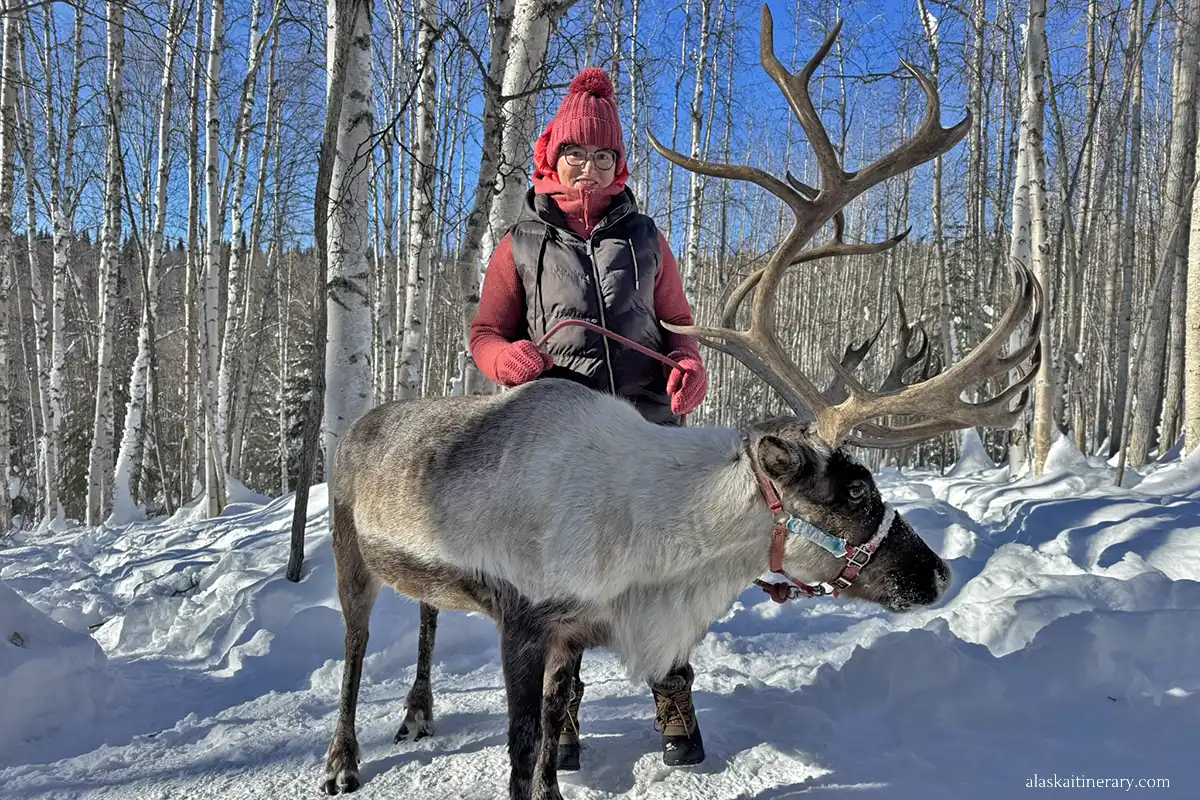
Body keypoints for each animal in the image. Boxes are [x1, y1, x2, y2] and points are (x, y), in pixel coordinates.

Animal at [320, 6, 1042, 799]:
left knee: (425, 616)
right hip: (350, 548)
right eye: (855, 490)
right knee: (356, 643)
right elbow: (520, 755)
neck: (646, 539)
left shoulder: (574, 631)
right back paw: (342, 759)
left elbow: (550, 739)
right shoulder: (526, 620)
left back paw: (419, 712)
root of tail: (359, 424)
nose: (938, 573)